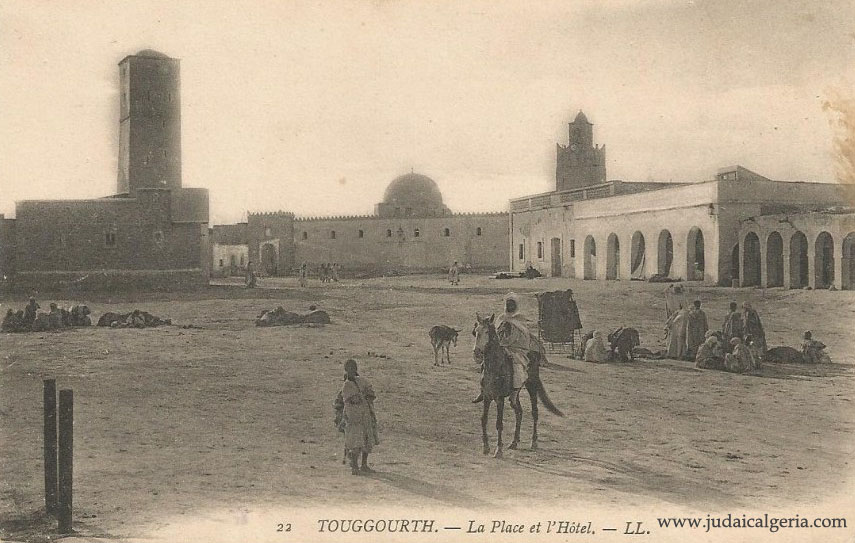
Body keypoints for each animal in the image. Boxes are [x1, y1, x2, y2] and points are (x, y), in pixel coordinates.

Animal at [472, 314, 564, 460]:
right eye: (476, 332)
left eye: (487, 332)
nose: (477, 352)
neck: (495, 366)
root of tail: (534, 353)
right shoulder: (487, 397)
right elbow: (484, 420)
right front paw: (486, 447)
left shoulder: (499, 399)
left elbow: (499, 424)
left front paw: (498, 450)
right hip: (514, 395)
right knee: (519, 412)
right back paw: (514, 442)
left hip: (532, 386)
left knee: (534, 412)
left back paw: (534, 442)